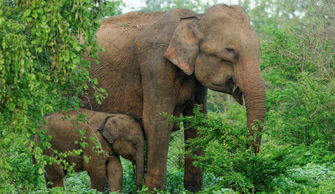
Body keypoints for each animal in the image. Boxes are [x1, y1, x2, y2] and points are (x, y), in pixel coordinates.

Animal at [84, 3, 268, 192]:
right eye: (230, 51)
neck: (195, 19)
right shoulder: (155, 64)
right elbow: (157, 123)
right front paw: (153, 191)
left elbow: (196, 125)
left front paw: (193, 190)